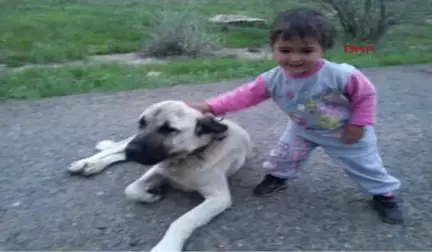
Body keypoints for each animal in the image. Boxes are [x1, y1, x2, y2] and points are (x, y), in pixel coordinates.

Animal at [67, 99, 253, 252]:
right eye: (142, 123)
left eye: (168, 129)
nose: (132, 150)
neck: (185, 158)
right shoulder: (155, 169)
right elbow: (130, 189)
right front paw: (149, 195)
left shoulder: (218, 198)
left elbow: (182, 221)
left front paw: (166, 246)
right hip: (128, 143)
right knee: (115, 149)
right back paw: (86, 163)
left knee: (119, 154)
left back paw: (94, 165)